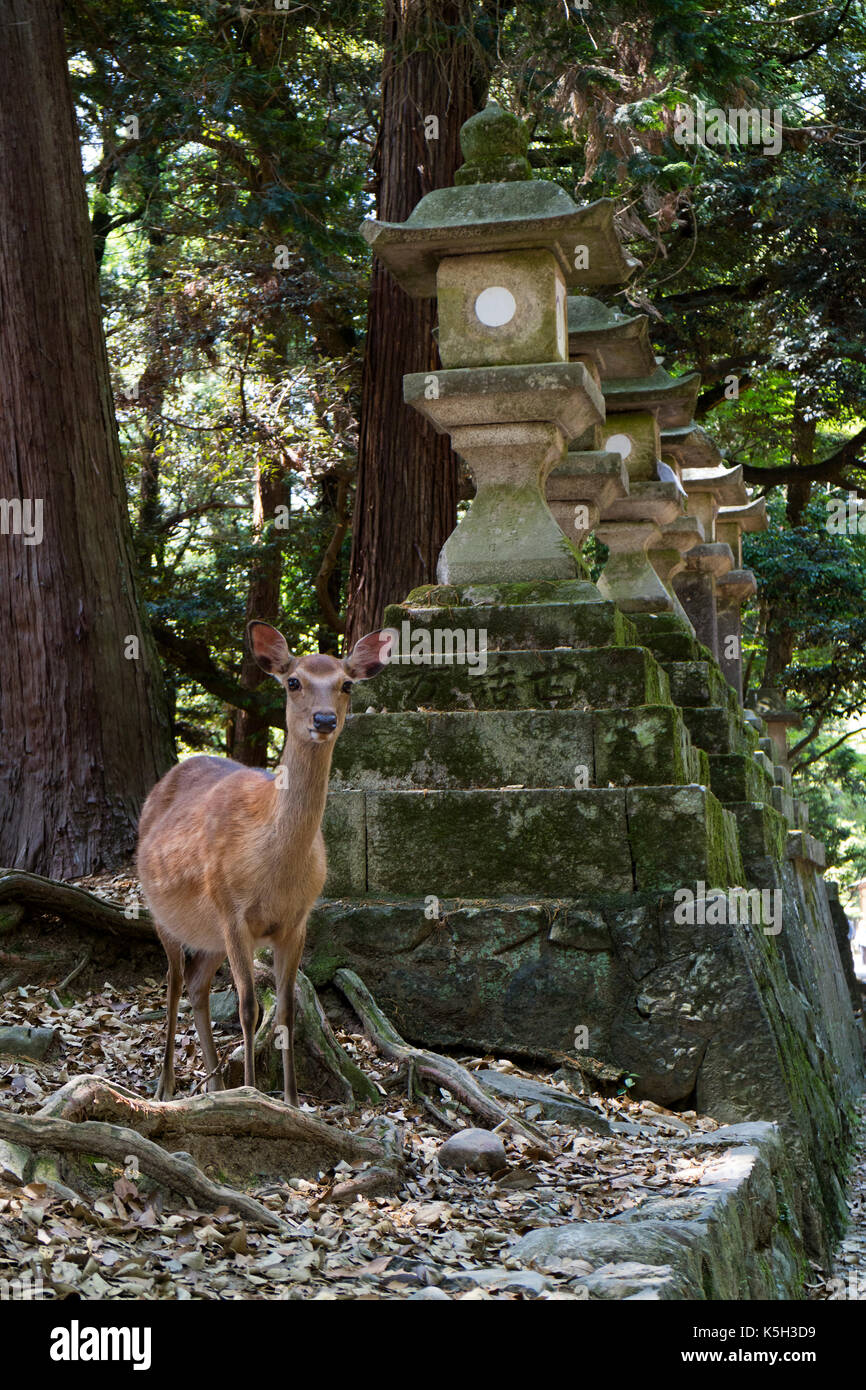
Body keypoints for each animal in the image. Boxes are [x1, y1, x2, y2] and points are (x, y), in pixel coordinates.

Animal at [136, 619, 389, 1106]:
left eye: (346, 684)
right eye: (293, 682)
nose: (324, 720)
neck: (273, 868)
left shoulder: (297, 920)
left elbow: (288, 1010)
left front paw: (292, 1103)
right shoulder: (231, 911)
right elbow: (249, 1006)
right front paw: (253, 1094)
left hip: (209, 935)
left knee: (197, 985)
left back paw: (214, 1086)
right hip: (163, 913)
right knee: (174, 981)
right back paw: (166, 1083)